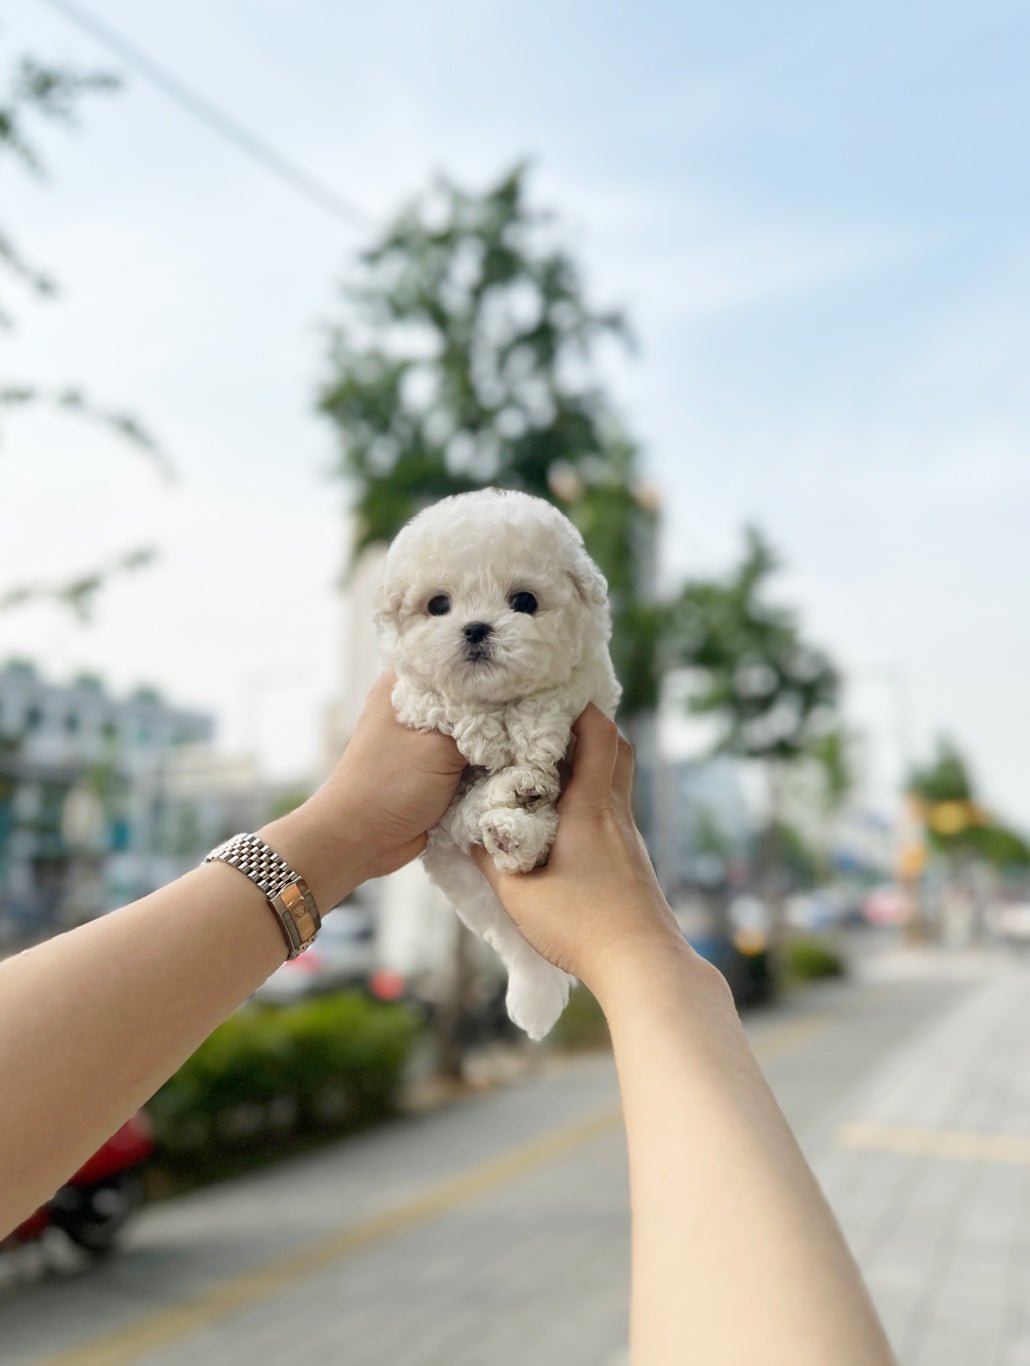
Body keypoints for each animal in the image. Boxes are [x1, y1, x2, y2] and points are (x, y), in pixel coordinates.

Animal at [374, 489, 617, 1032]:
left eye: (524, 601)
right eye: (438, 605)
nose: (475, 629)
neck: (498, 697)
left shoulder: (590, 682)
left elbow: (552, 695)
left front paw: (533, 737)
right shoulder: (406, 697)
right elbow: (441, 700)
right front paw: (486, 737)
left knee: (536, 835)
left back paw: (518, 817)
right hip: (447, 833)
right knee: (475, 814)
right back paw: (508, 809)